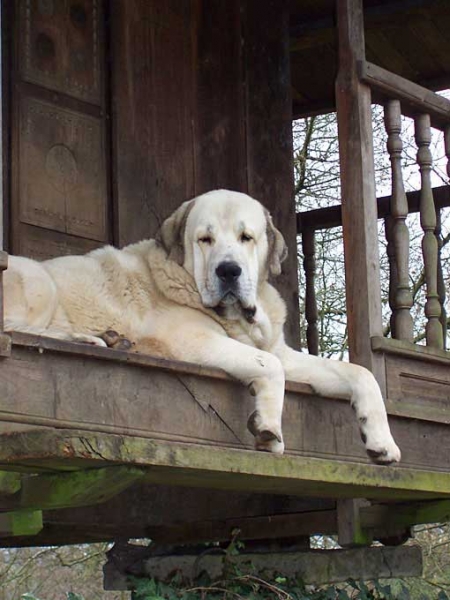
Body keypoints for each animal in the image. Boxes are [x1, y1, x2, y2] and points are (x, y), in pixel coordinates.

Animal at [2, 190, 400, 462]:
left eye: (246, 237)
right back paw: (92, 339)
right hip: (39, 280)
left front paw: (383, 441)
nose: (228, 270)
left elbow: (360, 373)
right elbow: (270, 368)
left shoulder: (281, 350)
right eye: (205, 240)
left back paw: (107, 339)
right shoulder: (194, 340)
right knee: (14, 330)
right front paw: (269, 427)